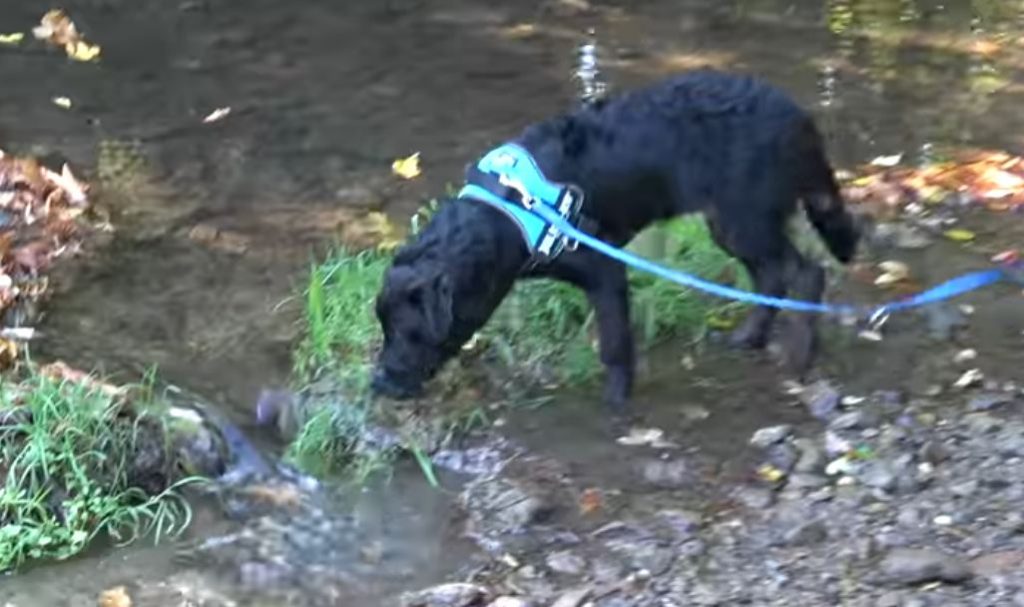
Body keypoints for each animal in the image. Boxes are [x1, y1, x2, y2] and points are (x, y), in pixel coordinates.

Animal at [372, 69, 860, 411]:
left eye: (411, 333)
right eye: (384, 328)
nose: (378, 384)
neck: (507, 212)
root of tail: (799, 119)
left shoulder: (604, 268)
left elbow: (615, 343)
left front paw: (616, 403)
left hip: (746, 218)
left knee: (806, 273)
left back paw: (801, 356)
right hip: (731, 223)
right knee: (772, 277)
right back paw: (750, 337)